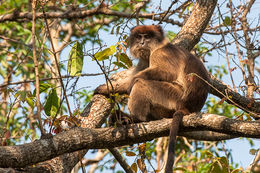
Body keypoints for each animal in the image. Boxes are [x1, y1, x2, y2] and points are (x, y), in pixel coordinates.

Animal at [94, 25, 210, 172]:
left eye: (148, 37)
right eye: (139, 37)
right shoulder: (144, 60)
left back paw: (136, 119)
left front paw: (130, 84)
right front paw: (106, 89)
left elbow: (165, 73)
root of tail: (188, 107)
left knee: (141, 83)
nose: (142, 43)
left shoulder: (161, 54)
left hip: (172, 96)